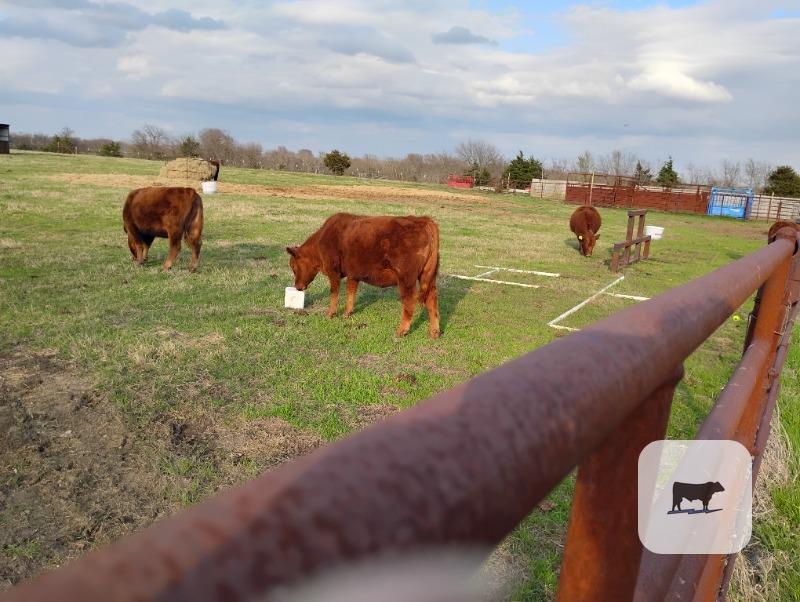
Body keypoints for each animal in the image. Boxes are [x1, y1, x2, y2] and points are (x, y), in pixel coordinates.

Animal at [286, 213, 440, 338]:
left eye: (293, 267)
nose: (297, 287)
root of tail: (422, 220)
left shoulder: (333, 271)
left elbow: (334, 293)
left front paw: (331, 313)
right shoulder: (353, 274)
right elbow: (351, 292)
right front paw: (347, 313)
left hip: (406, 278)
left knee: (409, 302)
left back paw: (401, 331)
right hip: (429, 277)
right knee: (432, 300)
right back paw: (434, 332)